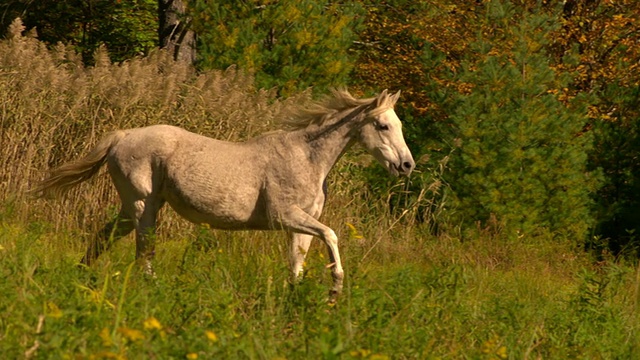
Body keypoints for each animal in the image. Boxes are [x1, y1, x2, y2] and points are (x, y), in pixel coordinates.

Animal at [36, 88, 416, 300]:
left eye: (398, 124)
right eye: (383, 125)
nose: (407, 165)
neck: (307, 157)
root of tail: (122, 135)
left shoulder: (301, 225)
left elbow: (297, 264)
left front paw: (300, 300)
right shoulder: (286, 217)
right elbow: (333, 236)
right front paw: (335, 289)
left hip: (133, 209)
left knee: (104, 238)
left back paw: (82, 277)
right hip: (144, 207)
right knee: (144, 253)